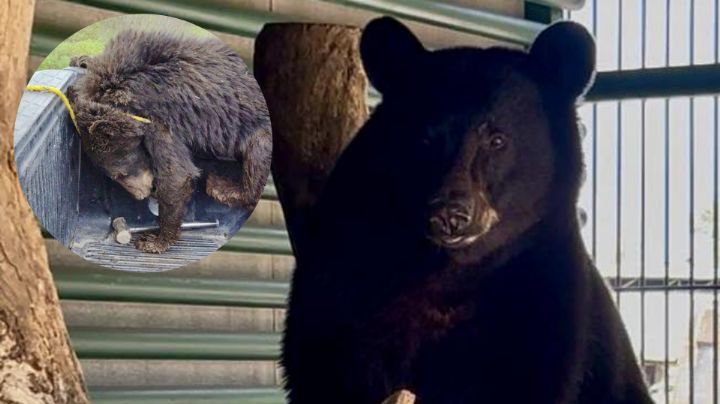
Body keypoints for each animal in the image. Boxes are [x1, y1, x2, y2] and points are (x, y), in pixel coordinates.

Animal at [66, 30, 272, 253]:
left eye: (119, 174)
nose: (142, 194)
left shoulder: (160, 121)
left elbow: (177, 175)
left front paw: (154, 241)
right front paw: (81, 60)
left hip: (260, 130)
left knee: (256, 159)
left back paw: (219, 186)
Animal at [281, 17, 653, 404]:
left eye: (497, 139)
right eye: (424, 138)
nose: (450, 213)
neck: (448, 273)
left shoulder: (544, 300)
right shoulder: (344, 270)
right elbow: (324, 358)